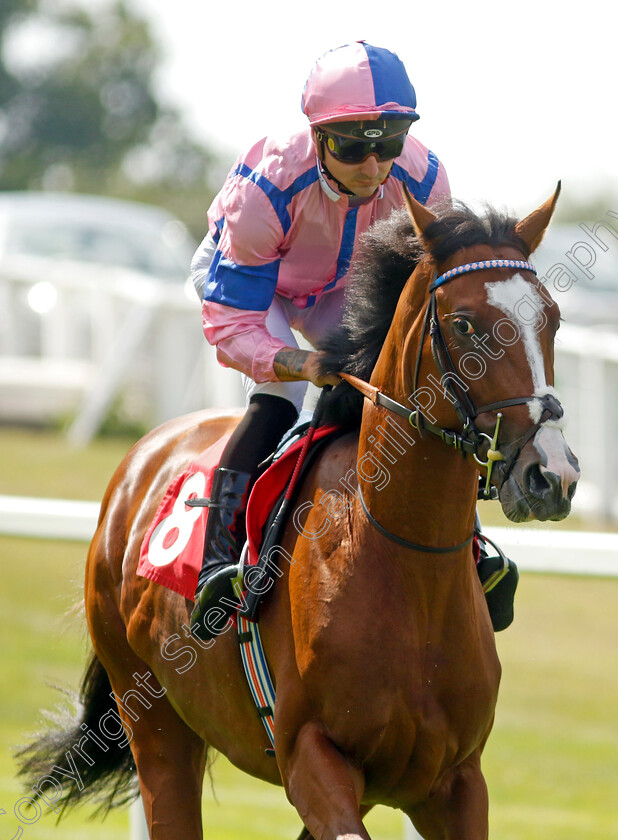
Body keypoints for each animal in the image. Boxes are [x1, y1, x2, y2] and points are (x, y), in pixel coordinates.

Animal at [18, 187, 576, 836]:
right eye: (464, 324)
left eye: (552, 318)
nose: (552, 476)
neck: (406, 560)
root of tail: (141, 458)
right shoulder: (311, 754)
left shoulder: (454, 780)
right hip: (152, 718)